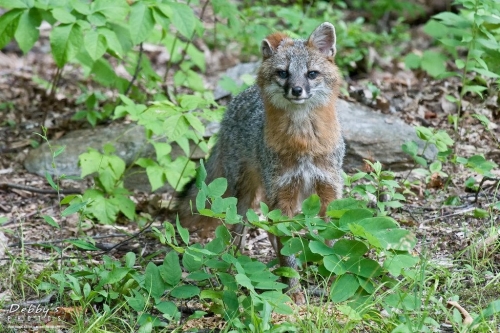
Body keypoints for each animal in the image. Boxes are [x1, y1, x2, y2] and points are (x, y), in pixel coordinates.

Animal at [176, 22, 344, 304]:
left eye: (311, 74)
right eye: (283, 73)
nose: (296, 90)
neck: (304, 143)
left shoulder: (328, 191)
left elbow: (329, 240)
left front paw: (330, 276)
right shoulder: (283, 197)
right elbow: (287, 252)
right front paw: (294, 292)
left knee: (269, 230)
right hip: (245, 197)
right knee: (239, 233)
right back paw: (235, 267)